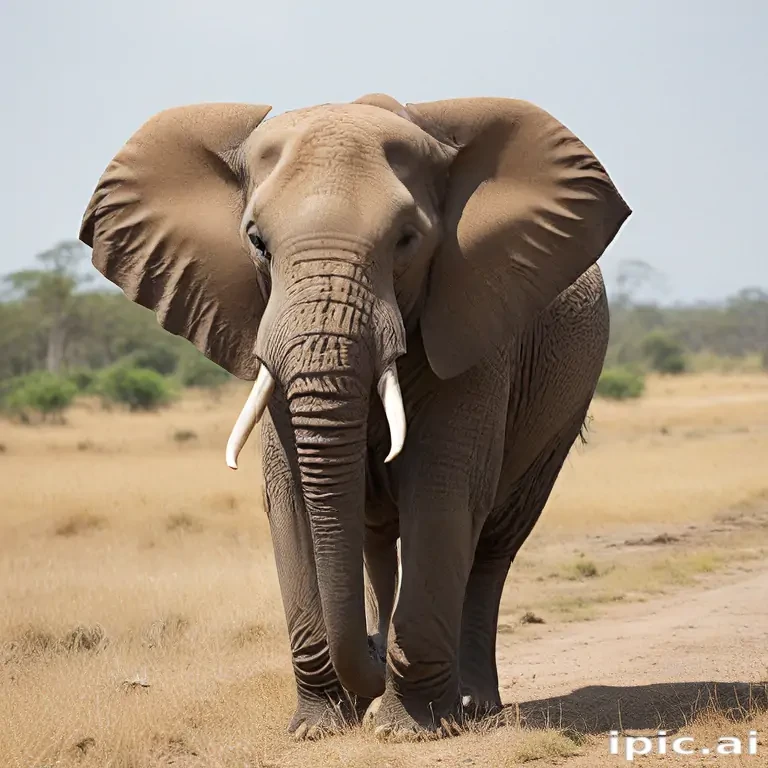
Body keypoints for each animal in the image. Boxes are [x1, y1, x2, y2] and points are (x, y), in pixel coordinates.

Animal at [80, 93, 630, 739]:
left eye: (407, 240)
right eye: (257, 241)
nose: (371, 649)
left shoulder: (470, 324)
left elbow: (441, 492)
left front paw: (407, 727)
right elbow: (291, 500)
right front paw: (317, 728)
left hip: (562, 409)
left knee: (494, 544)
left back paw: (473, 705)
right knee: (374, 542)